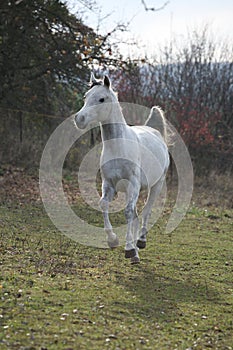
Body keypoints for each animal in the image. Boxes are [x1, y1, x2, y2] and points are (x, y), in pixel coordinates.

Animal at [74, 74, 169, 264]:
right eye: (86, 97)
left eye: (102, 99)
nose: (79, 119)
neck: (119, 146)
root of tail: (155, 132)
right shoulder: (109, 184)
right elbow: (104, 204)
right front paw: (112, 240)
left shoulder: (133, 184)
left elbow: (128, 212)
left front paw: (129, 249)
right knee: (136, 214)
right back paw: (135, 252)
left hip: (156, 185)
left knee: (146, 211)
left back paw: (140, 242)